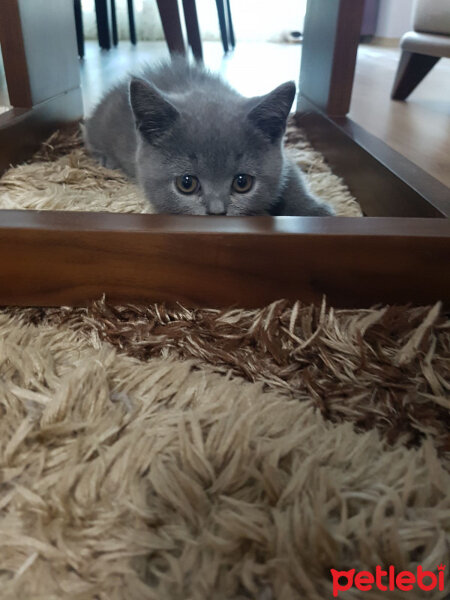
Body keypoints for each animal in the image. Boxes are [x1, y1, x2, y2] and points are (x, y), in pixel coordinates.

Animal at [83, 57, 334, 217]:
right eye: (186, 183)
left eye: (242, 182)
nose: (217, 211)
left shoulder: (283, 158)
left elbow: (292, 178)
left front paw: (314, 211)